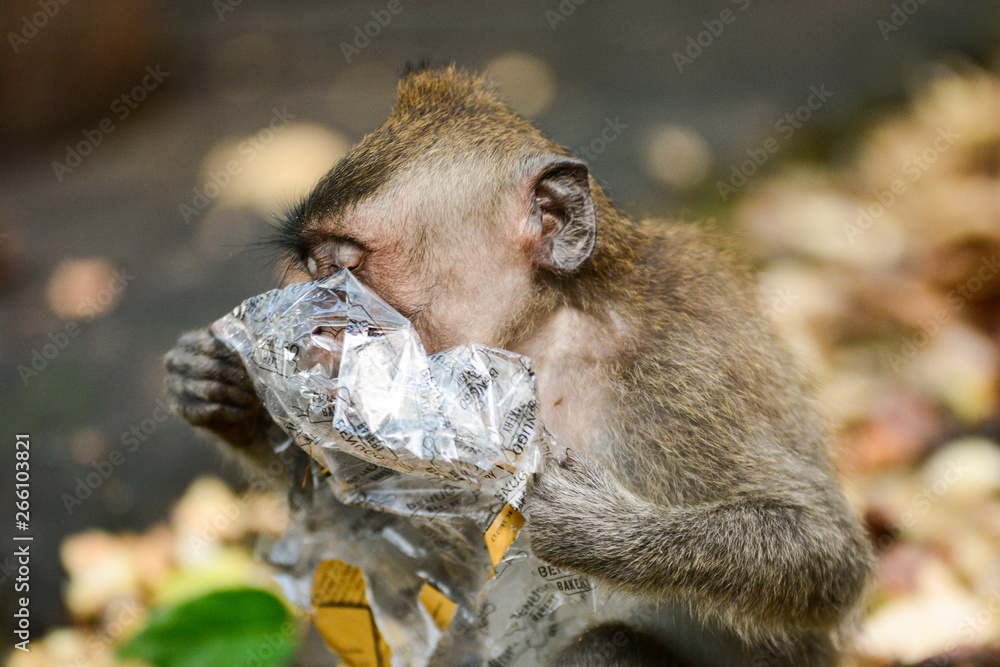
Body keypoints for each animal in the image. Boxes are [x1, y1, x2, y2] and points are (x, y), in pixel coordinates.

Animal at [164, 64, 874, 666]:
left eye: (341, 267)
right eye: (311, 265)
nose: (307, 325)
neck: (542, 341)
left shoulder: (688, 363)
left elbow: (827, 555)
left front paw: (589, 528)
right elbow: (411, 566)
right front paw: (228, 400)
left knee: (604, 646)